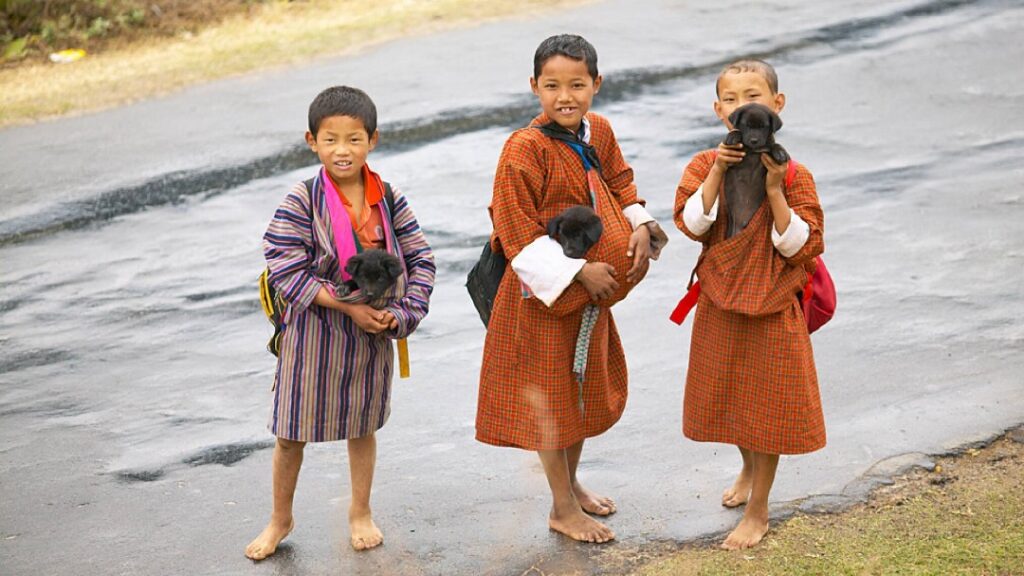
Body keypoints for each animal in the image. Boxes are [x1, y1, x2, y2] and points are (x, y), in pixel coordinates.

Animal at [720, 102, 790, 237]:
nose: (754, 141)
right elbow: (737, 133)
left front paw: (780, 152)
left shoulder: (766, 148)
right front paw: (733, 136)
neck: (753, 150)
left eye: (763, 127)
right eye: (746, 125)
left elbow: (774, 144)